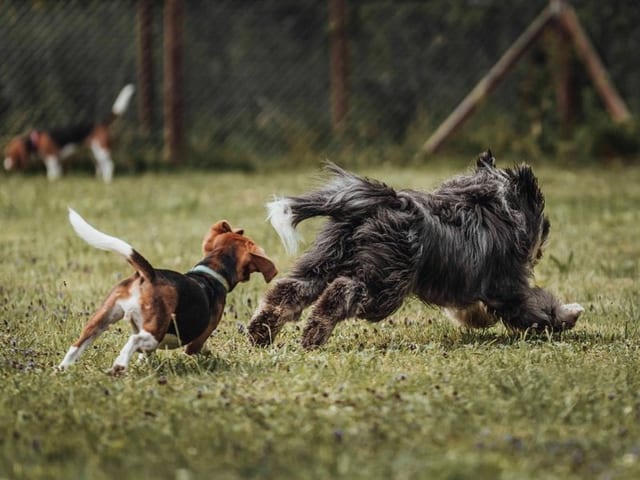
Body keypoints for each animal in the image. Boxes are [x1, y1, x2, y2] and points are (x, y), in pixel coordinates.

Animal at [4, 84, 135, 184]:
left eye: (9, 154)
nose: (4, 165)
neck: (35, 139)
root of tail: (101, 124)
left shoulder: (52, 159)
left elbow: (52, 173)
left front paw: (51, 182)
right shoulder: (52, 161)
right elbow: (54, 172)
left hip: (101, 150)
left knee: (109, 165)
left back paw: (107, 181)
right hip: (94, 152)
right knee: (101, 166)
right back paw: (99, 180)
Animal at [60, 208, 278, 374]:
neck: (211, 272)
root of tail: (149, 275)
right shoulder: (197, 341)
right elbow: (200, 348)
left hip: (101, 319)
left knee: (77, 344)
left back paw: (62, 369)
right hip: (153, 332)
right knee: (134, 340)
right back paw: (119, 365)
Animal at [249, 151, 584, 348]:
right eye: (544, 221)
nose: (542, 243)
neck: (492, 204)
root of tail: (386, 201)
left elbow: (467, 309)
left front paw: (476, 320)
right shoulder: (508, 288)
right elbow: (538, 307)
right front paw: (569, 315)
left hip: (326, 258)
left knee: (290, 290)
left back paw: (261, 332)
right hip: (386, 285)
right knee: (342, 292)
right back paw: (314, 334)